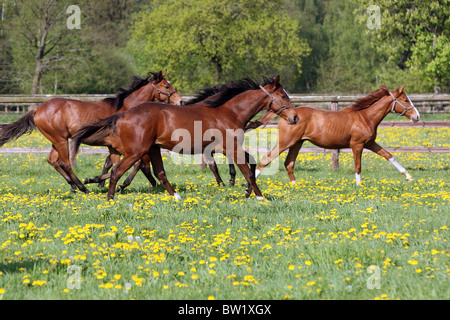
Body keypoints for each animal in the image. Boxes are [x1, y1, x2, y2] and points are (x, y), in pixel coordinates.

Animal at [0, 70, 183, 192]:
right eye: (167, 86)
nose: (180, 101)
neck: (125, 109)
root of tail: (37, 109)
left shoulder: (114, 146)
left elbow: (115, 164)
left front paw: (103, 182)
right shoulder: (125, 146)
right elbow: (134, 165)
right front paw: (106, 183)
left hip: (56, 140)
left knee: (53, 160)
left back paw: (73, 185)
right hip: (60, 140)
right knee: (64, 163)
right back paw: (82, 187)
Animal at [72, 76, 300, 200]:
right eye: (283, 96)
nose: (295, 117)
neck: (229, 111)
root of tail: (124, 114)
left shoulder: (227, 148)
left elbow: (250, 164)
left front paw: (246, 191)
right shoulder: (231, 148)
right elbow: (247, 171)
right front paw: (260, 196)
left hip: (152, 149)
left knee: (159, 173)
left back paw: (177, 197)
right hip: (137, 151)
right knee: (118, 171)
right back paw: (109, 197)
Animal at [244, 85, 420, 185]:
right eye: (405, 100)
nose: (417, 116)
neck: (365, 117)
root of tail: (287, 115)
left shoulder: (369, 143)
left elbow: (389, 156)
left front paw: (409, 177)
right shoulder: (357, 145)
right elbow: (358, 166)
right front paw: (359, 186)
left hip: (297, 143)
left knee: (289, 163)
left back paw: (295, 185)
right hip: (286, 142)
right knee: (267, 158)